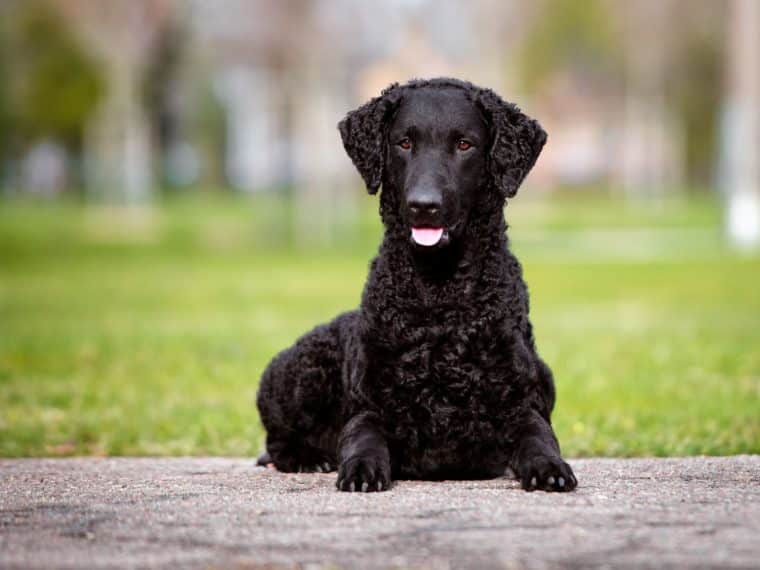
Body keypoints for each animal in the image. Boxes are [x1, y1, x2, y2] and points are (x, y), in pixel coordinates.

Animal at [255, 77, 576, 490]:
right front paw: (360, 468)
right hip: (300, 371)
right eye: (404, 143)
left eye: (464, 144)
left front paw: (549, 467)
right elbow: (362, 436)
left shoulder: (522, 404)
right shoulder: (368, 405)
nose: (424, 205)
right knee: (277, 441)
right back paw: (309, 458)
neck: (440, 299)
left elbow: (539, 436)